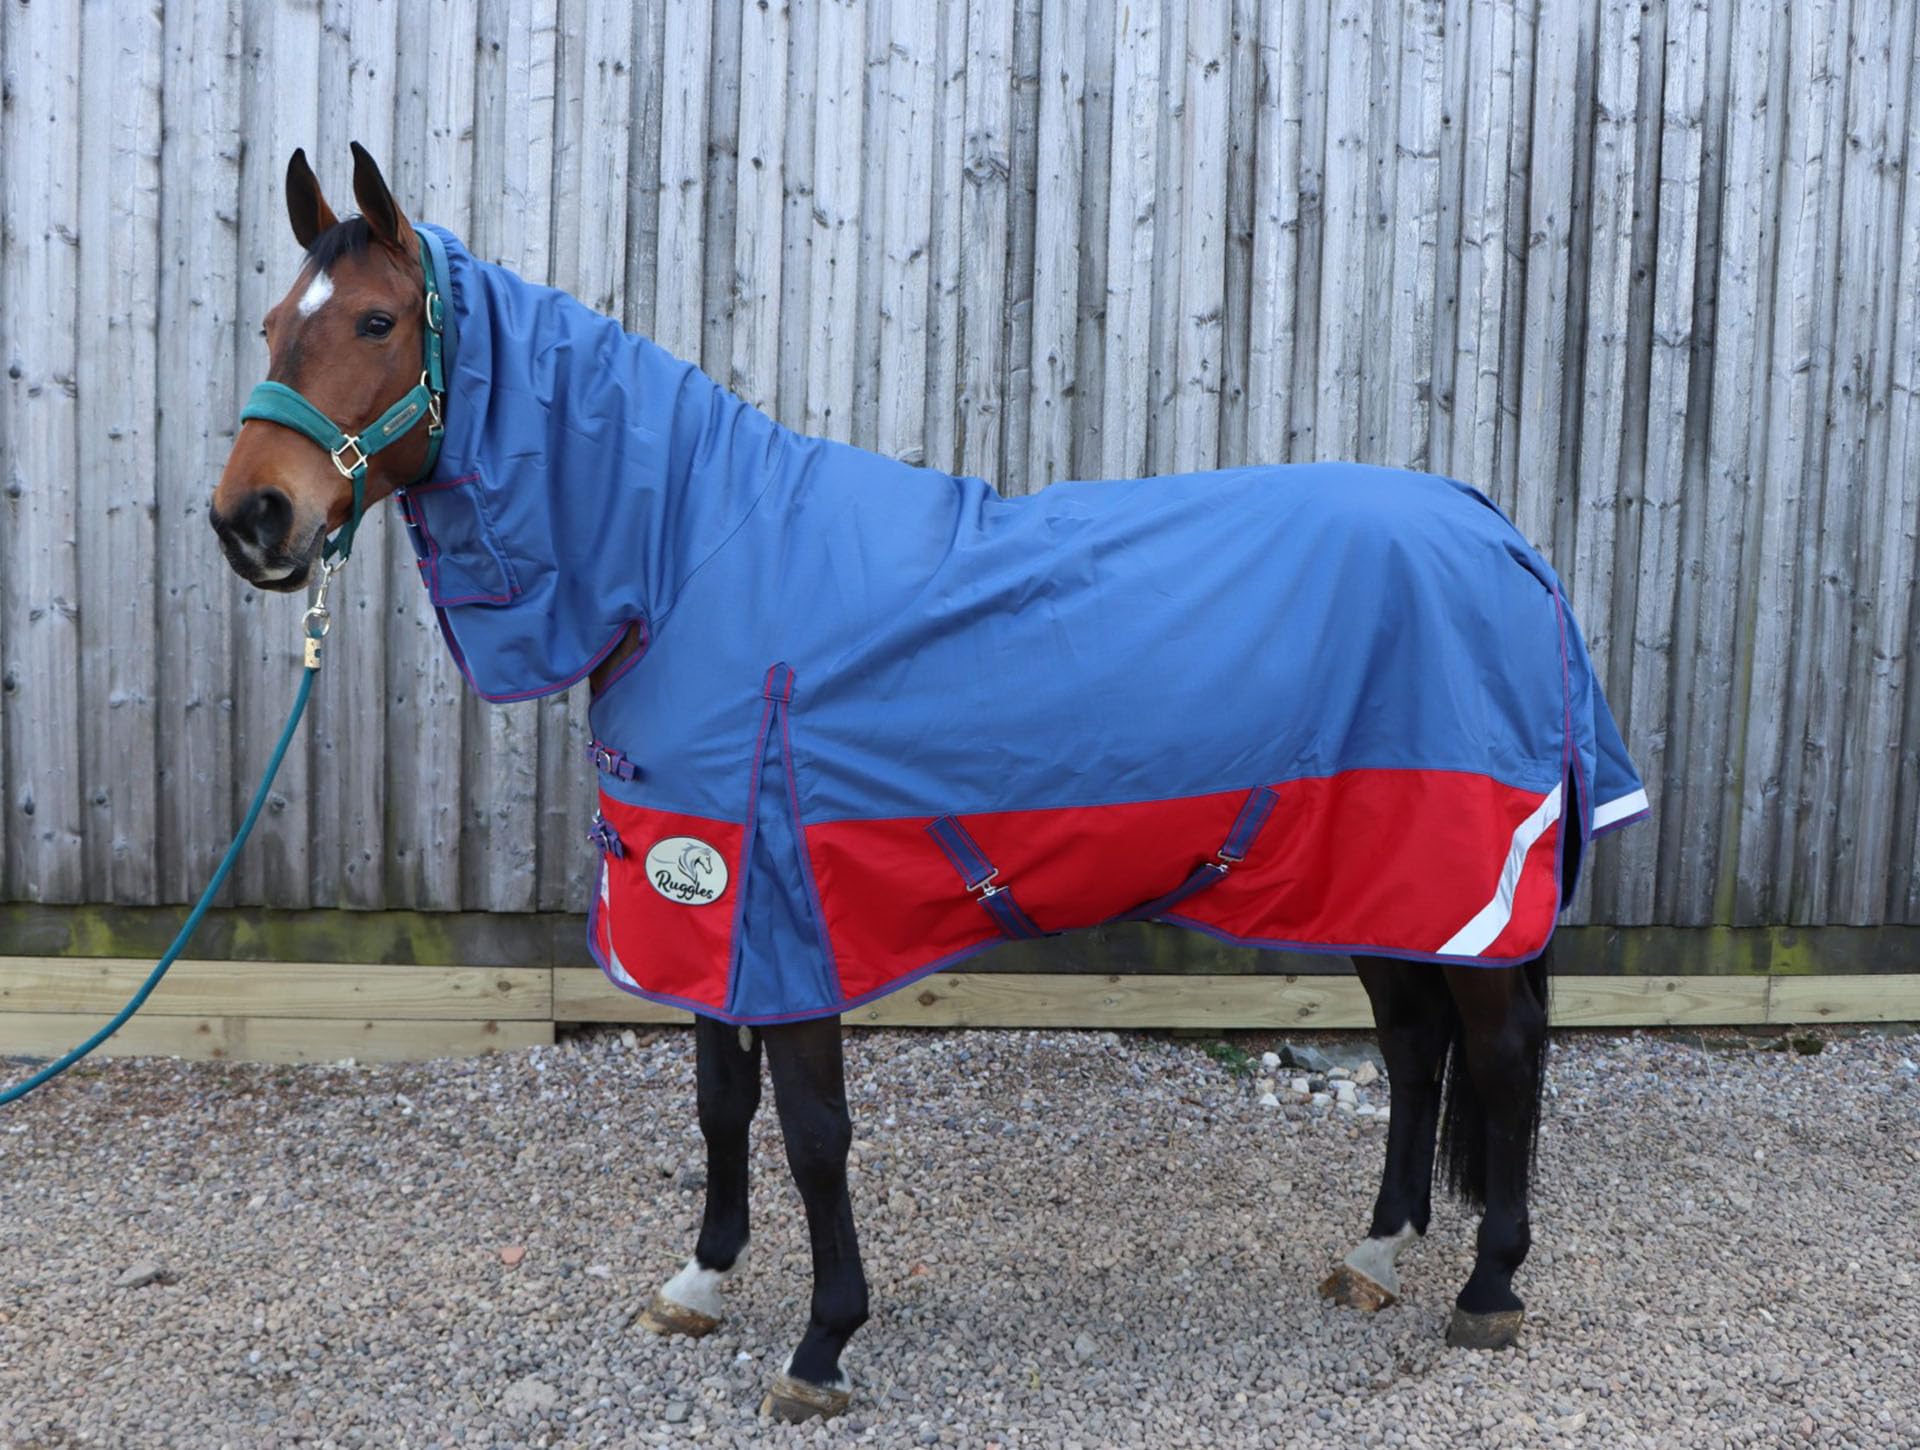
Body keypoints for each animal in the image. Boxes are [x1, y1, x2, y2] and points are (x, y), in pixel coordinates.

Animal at [211, 144, 1649, 1422]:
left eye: (379, 319)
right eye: (278, 323)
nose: (252, 519)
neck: (692, 558)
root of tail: (1500, 534)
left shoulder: (785, 912)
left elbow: (812, 1129)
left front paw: (822, 1343)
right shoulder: (706, 901)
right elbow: (720, 1103)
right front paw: (702, 1280)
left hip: (1459, 872)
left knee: (1502, 1051)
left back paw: (1488, 1285)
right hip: (1381, 882)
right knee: (1413, 1045)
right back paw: (1378, 1252)